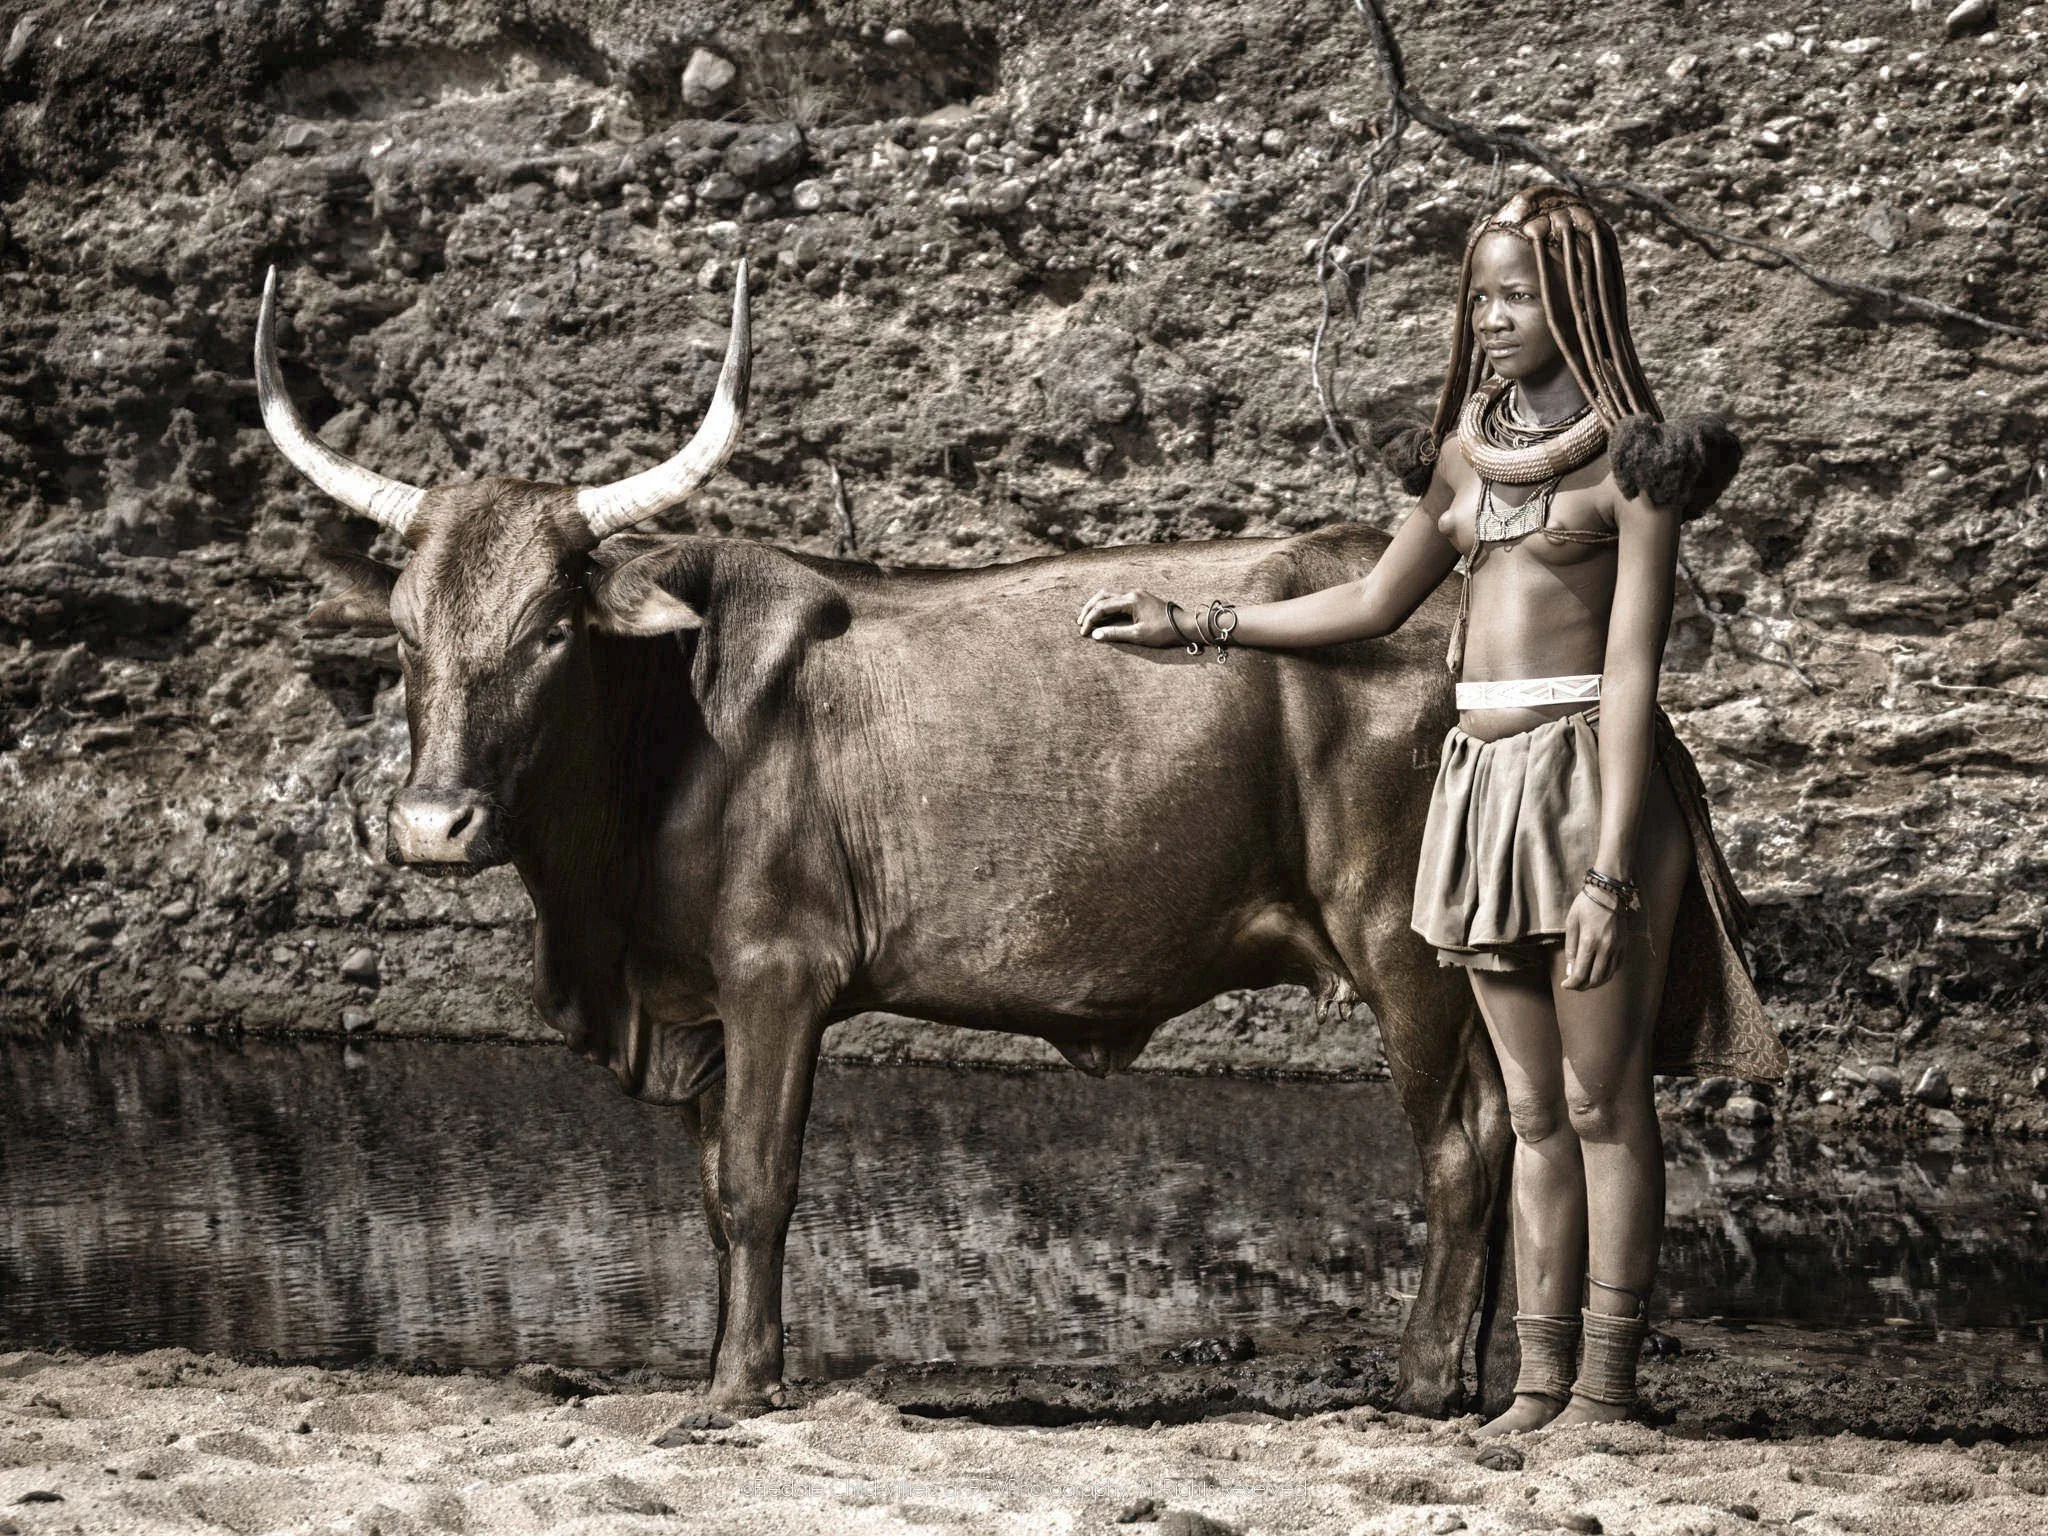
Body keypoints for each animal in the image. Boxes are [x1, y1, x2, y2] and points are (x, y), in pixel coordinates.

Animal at [254, 263, 1516, 1415]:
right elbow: (712, 1198)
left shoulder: (778, 976)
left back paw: (1420, 1382)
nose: (431, 825)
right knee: (1507, 1136)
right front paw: (725, 1367)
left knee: (1455, 1148)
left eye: (551, 630)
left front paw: (738, 1389)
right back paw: (1478, 1375)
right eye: (406, 634)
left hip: (1400, 946)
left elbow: (757, 1185)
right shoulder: (700, 1006)